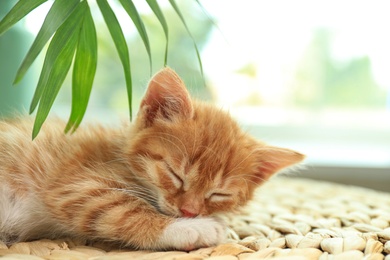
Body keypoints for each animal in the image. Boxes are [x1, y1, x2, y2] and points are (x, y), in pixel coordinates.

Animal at [0, 68, 304, 251]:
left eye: (219, 194)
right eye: (175, 174)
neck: (120, 154)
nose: (189, 212)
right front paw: (196, 228)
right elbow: (124, 211)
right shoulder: (73, 184)